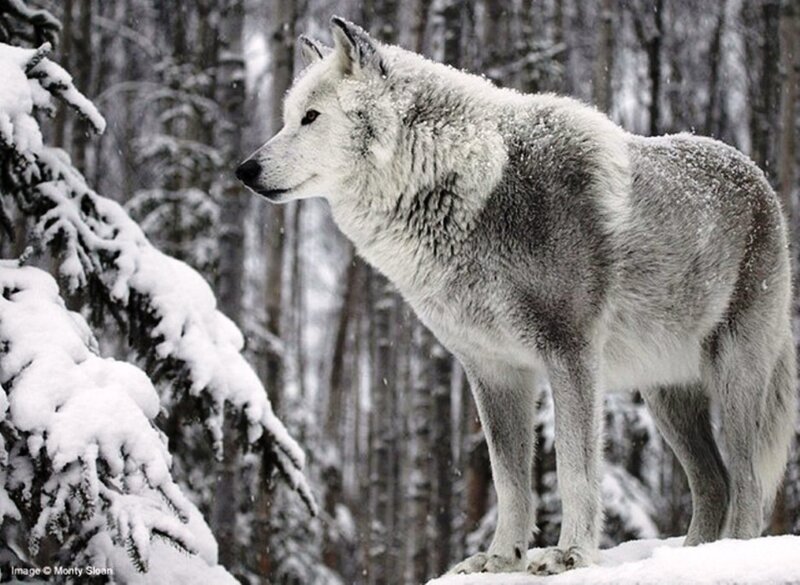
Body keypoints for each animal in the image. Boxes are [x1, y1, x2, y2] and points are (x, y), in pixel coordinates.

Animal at [236, 17, 797, 576]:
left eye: (310, 117)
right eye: (286, 119)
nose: (244, 169)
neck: (467, 187)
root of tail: (760, 179)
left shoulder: (570, 354)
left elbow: (573, 467)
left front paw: (571, 554)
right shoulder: (492, 370)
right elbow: (508, 479)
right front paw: (501, 557)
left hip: (733, 378)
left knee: (746, 482)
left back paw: (731, 554)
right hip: (665, 397)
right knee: (714, 483)